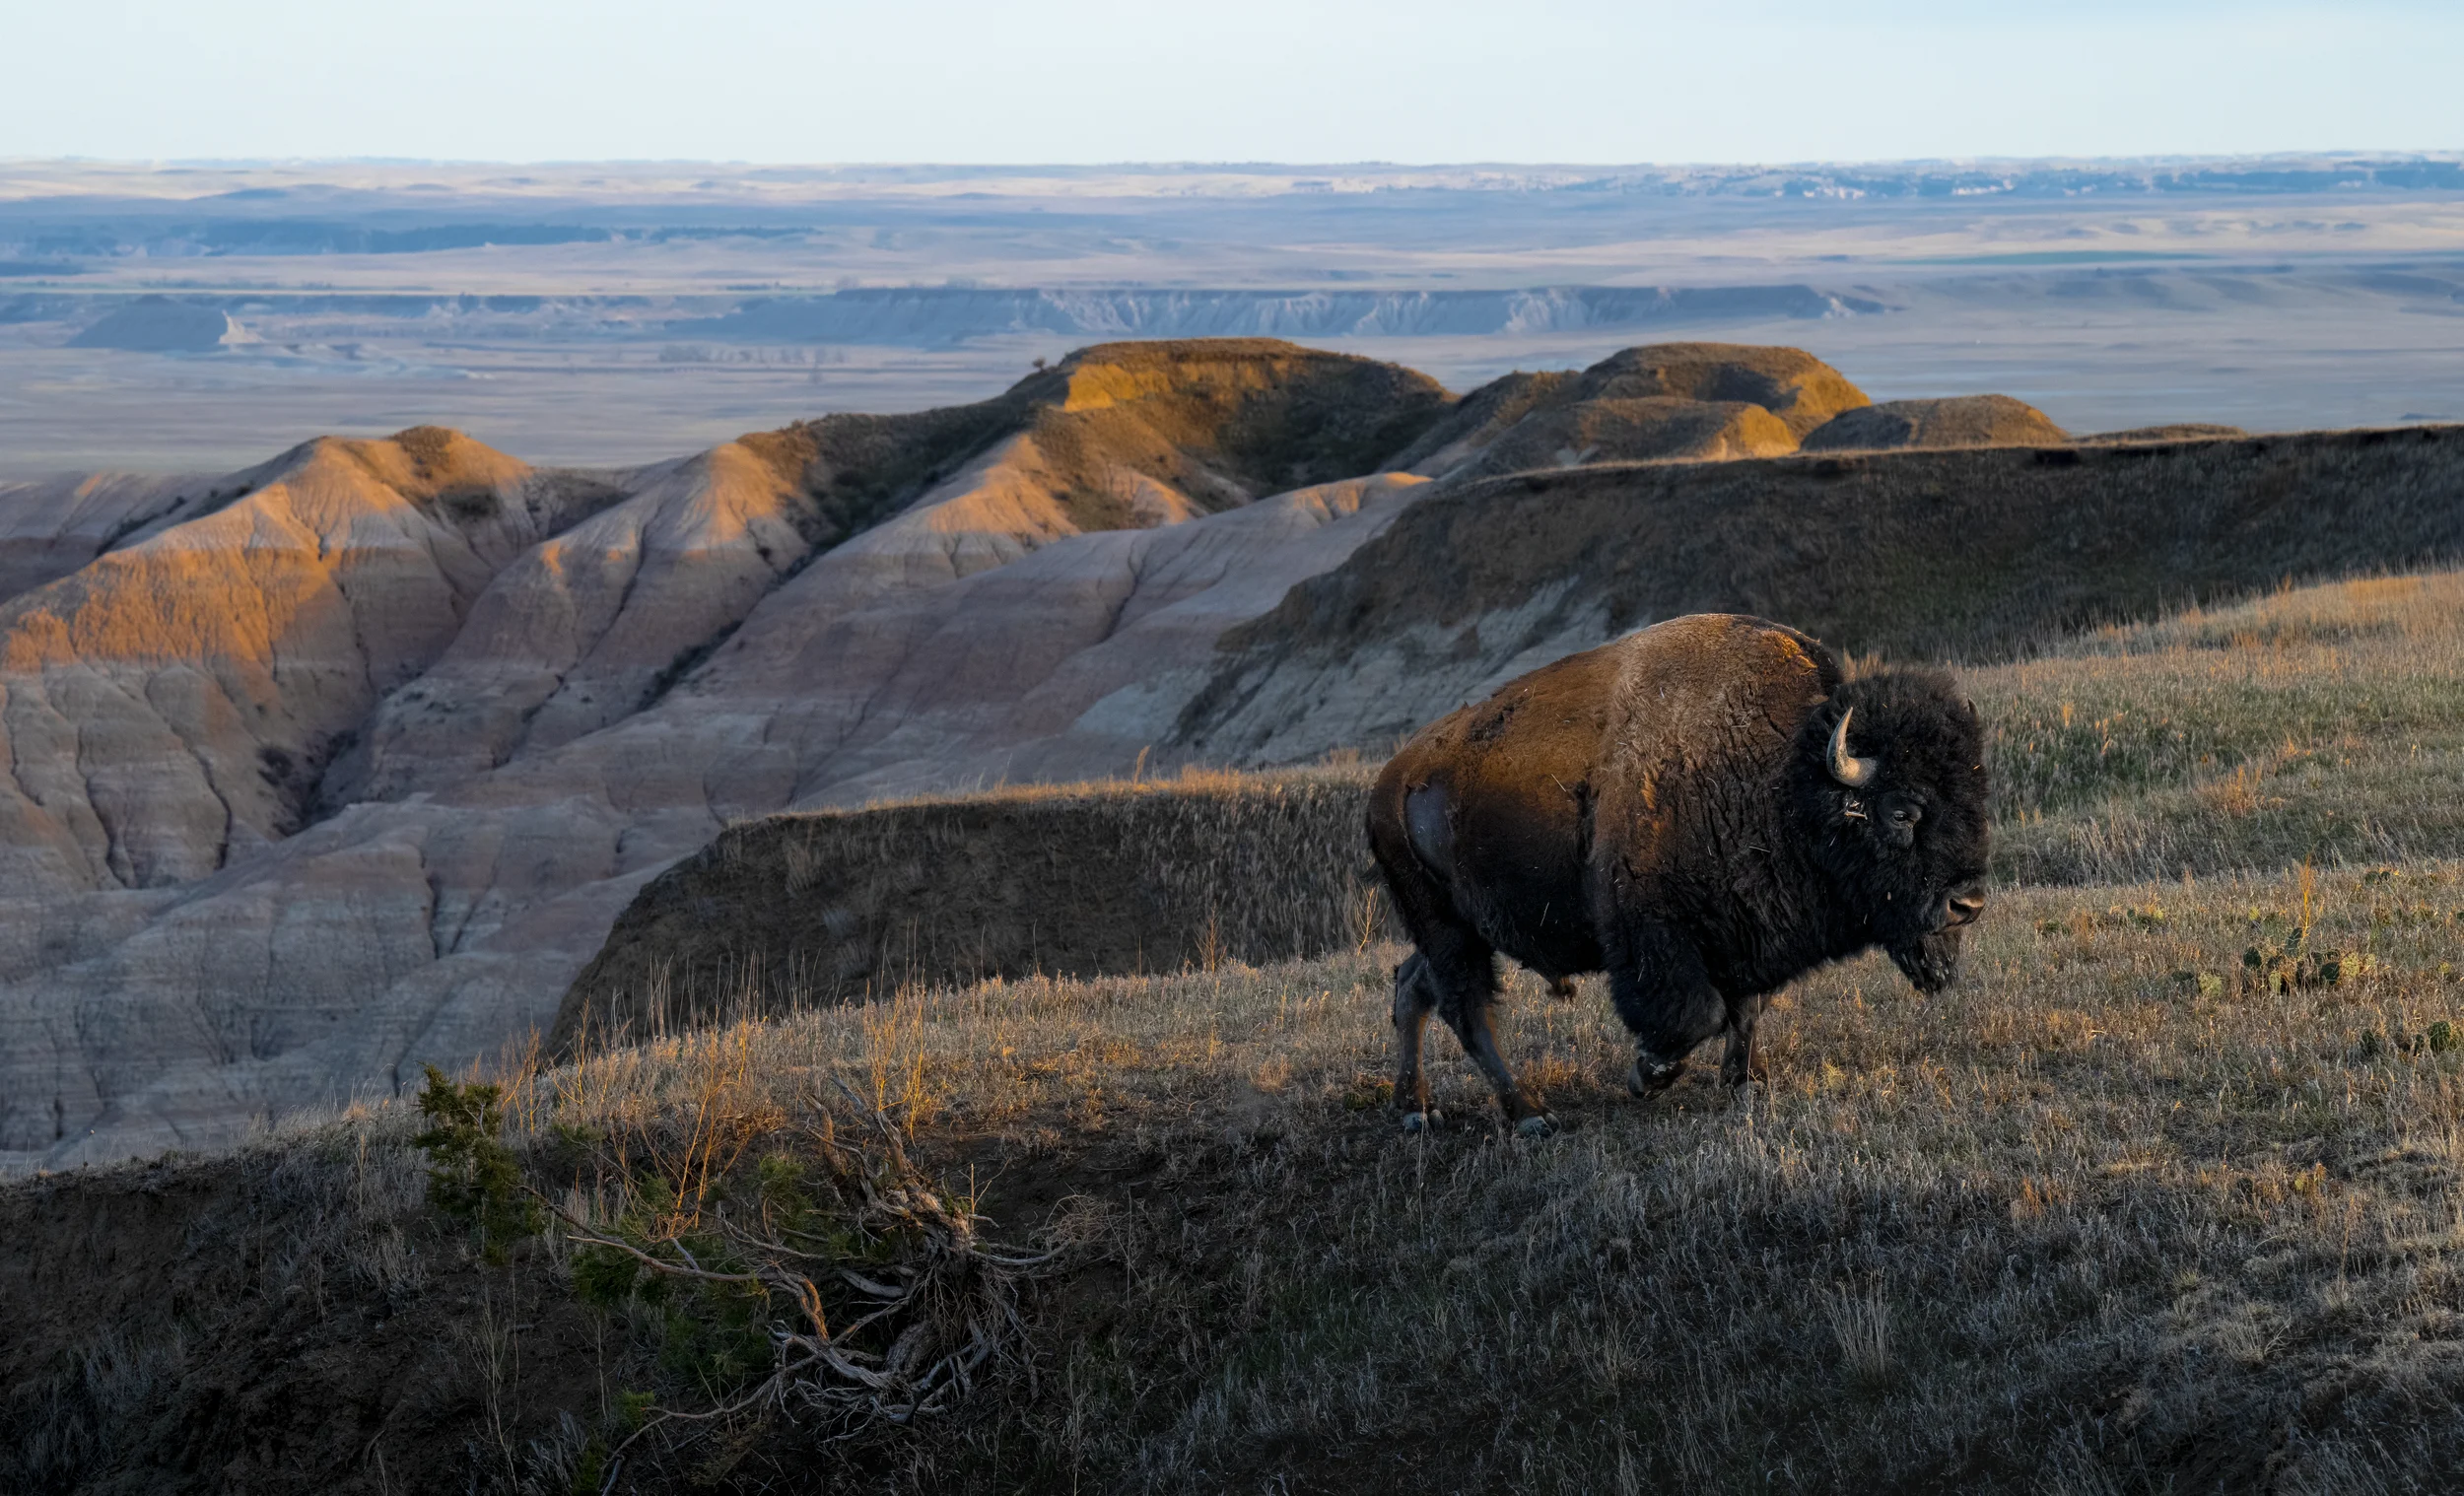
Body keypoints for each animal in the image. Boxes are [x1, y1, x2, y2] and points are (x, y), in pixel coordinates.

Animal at [1366, 613, 1989, 1135]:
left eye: (1975, 802)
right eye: (1902, 811)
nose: (1968, 905)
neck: (1784, 778)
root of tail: (1390, 781)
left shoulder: (1745, 925)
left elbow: (1748, 1007)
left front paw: (1745, 1082)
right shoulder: (1655, 934)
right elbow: (1698, 1011)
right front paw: (1648, 1075)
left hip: (1455, 930)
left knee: (1412, 985)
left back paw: (1416, 1109)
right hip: (1447, 928)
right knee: (1467, 1010)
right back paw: (1529, 1115)